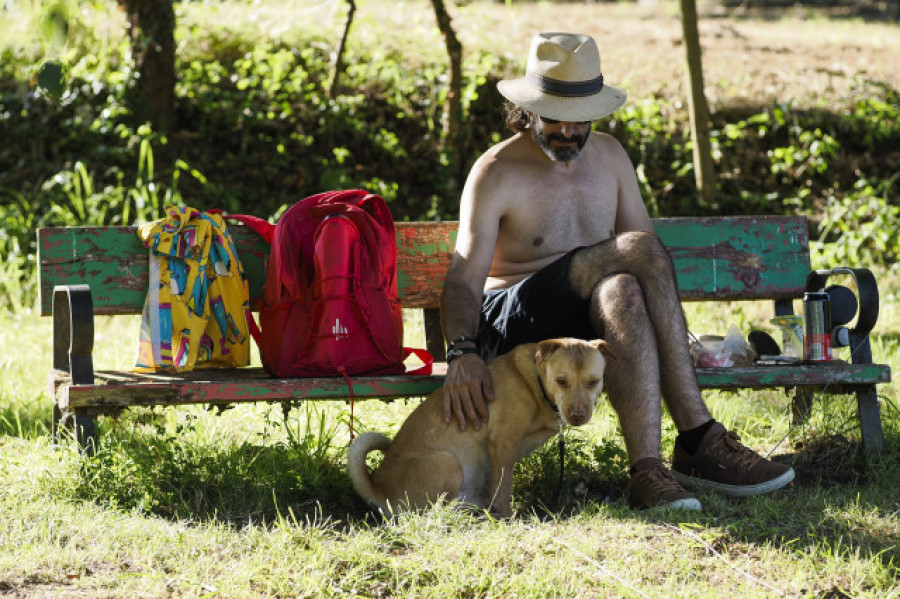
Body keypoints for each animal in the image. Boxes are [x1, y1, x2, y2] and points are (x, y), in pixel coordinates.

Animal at [344, 340, 612, 516]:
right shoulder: (503, 442)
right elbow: (504, 486)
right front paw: (507, 517)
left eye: (593, 382)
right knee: (430, 514)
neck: (536, 382)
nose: (577, 415)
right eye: (561, 381)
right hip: (448, 462)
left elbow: (497, 486)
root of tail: (378, 489)